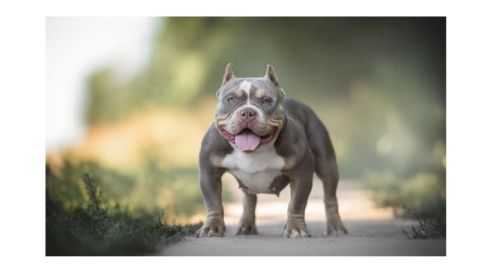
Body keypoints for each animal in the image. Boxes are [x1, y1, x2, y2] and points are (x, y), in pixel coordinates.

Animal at [197, 64, 346, 238]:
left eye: (266, 101)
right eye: (231, 99)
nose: (247, 112)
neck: (254, 151)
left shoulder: (301, 174)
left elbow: (296, 204)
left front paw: (295, 228)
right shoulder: (209, 173)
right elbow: (213, 203)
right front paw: (212, 227)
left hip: (326, 163)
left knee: (330, 196)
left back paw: (335, 227)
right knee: (249, 199)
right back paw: (246, 226)